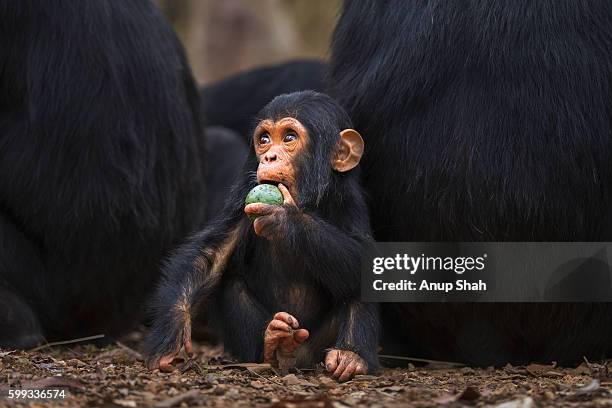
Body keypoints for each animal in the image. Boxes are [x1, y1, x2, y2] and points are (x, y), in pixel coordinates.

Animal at [146, 91, 380, 380]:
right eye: (264, 139)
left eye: (289, 137)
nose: (268, 157)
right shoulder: (242, 197)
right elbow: (210, 255)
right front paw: (172, 333)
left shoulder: (351, 204)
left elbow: (365, 257)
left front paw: (285, 219)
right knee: (231, 282)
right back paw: (275, 342)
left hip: (316, 345)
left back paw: (350, 356)